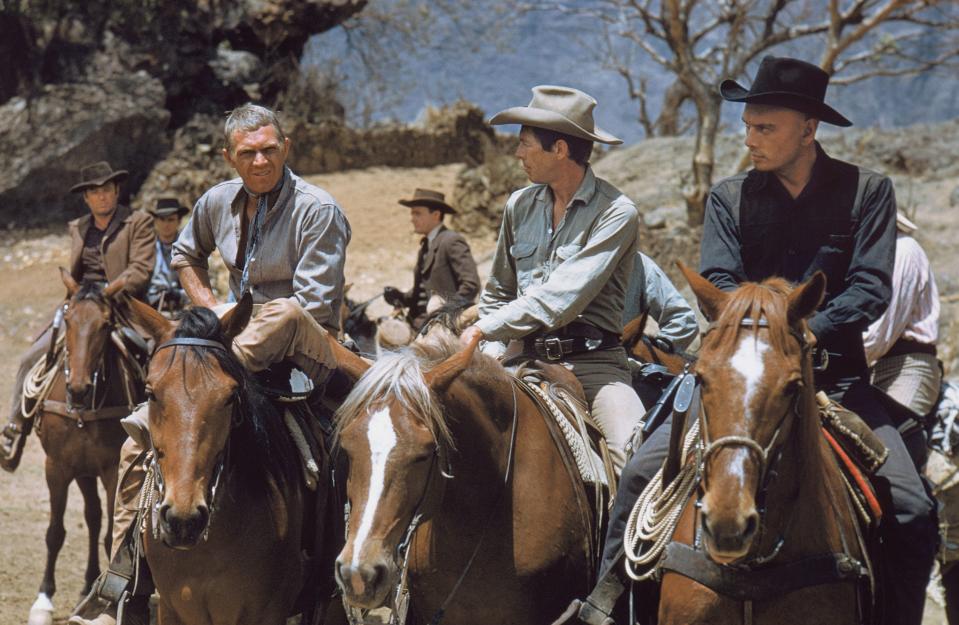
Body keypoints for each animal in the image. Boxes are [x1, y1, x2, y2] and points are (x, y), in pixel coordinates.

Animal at [27, 272, 142, 624]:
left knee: (97, 520)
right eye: (68, 320)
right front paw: (43, 598)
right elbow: (55, 532)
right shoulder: (57, 467)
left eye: (106, 324)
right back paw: (88, 582)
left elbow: (111, 536)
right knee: (92, 516)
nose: (78, 388)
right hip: (82, 472)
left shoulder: (112, 471)